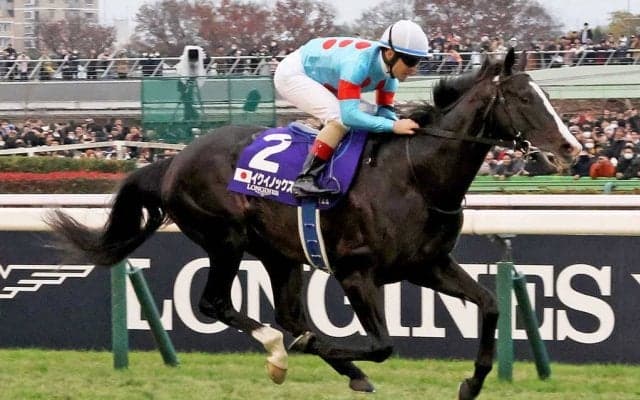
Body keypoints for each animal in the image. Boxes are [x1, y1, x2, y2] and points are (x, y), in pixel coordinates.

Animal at [47, 48, 581, 400]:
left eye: (544, 94)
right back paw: (281, 351)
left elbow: (490, 304)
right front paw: (329, 351)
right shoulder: (355, 271)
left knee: (288, 315)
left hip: (280, 253)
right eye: (523, 98)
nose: (571, 147)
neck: (416, 174)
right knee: (218, 303)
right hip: (225, 238)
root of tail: (173, 162)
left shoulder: (428, 264)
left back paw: (316, 359)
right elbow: (382, 345)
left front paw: (471, 382)